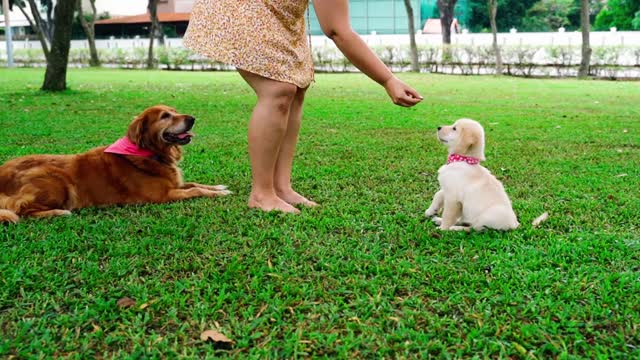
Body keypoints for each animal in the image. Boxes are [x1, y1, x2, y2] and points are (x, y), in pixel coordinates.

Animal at [0, 104, 230, 224]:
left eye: (175, 111)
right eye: (165, 116)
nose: (192, 119)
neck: (151, 153)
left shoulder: (174, 184)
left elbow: (195, 184)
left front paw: (218, 187)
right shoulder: (163, 196)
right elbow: (195, 190)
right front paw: (218, 193)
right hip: (55, 179)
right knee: (21, 210)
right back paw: (57, 212)